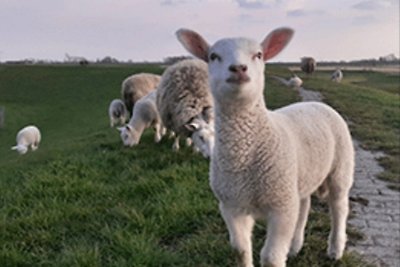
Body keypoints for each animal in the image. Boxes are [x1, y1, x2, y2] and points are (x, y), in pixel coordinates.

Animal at [177, 26, 354, 266]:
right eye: (213, 56)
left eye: (258, 55)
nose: (238, 68)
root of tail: (316, 103)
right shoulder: (231, 207)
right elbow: (240, 251)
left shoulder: (281, 208)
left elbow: (270, 257)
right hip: (298, 178)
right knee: (304, 205)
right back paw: (295, 247)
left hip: (340, 169)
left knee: (339, 208)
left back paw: (335, 249)